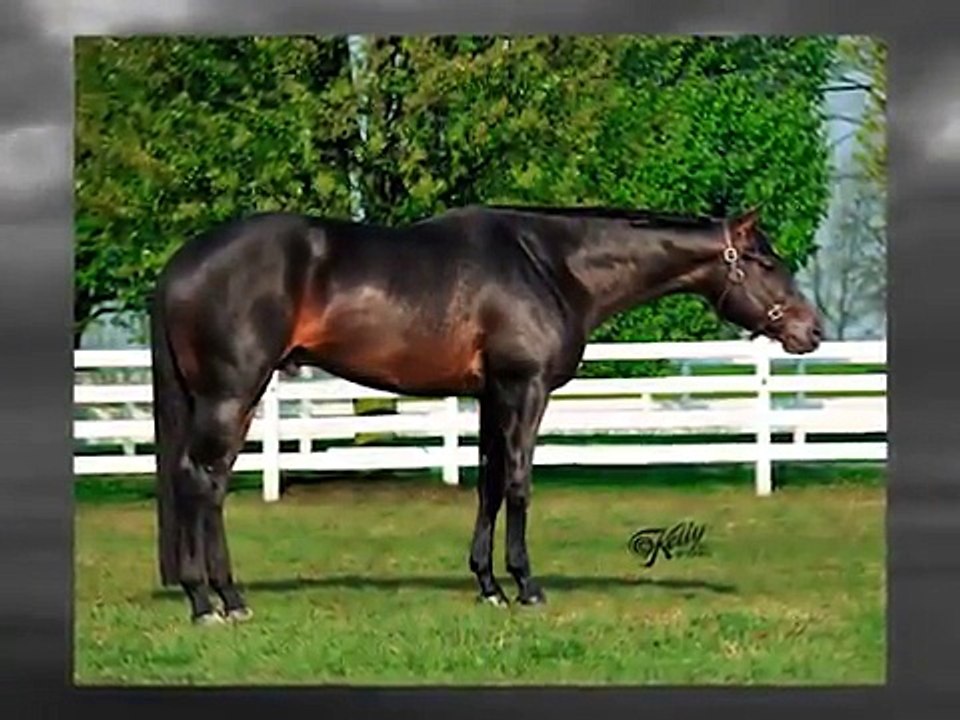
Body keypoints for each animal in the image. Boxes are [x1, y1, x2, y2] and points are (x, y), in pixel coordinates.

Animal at [149, 203, 822, 624]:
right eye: (765, 262)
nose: (811, 331)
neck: (552, 264)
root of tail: (181, 263)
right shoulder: (525, 389)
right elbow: (520, 485)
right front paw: (527, 586)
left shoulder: (491, 395)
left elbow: (490, 485)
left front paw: (489, 585)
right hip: (233, 392)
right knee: (203, 481)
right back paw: (215, 602)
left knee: (203, 481)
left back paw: (214, 596)